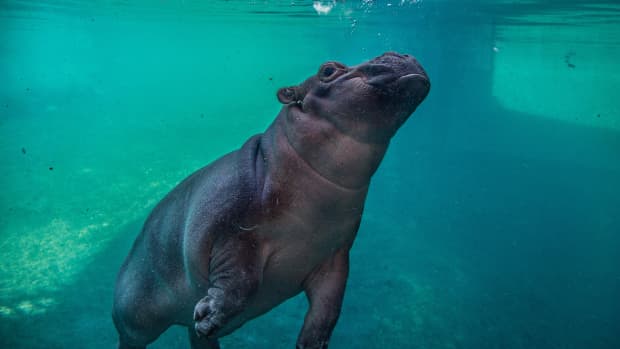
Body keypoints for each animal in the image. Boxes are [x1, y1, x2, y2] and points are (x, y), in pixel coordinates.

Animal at [114, 51, 428, 348]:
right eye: (328, 70)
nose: (405, 55)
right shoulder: (235, 235)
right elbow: (242, 283)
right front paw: (208, 316)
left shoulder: (335, 255)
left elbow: (329, 307)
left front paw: (310, 343)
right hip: (135, 320)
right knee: (132, 339)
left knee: (197, 337)